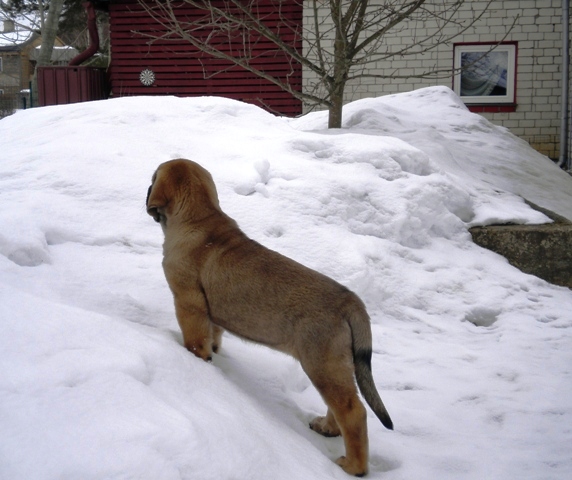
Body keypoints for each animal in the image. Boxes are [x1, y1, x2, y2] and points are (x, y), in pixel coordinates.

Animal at [145, 158, 392, 476]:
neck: (199, 217)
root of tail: (351, 302)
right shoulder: (211, 314)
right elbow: (214, 335)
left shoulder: (189, 303)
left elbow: (195, 340)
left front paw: (195, 359)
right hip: (338, 364)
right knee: (343, 404)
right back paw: (327, 427)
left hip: (321, 362)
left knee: (353, 410)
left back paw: (353, 466)